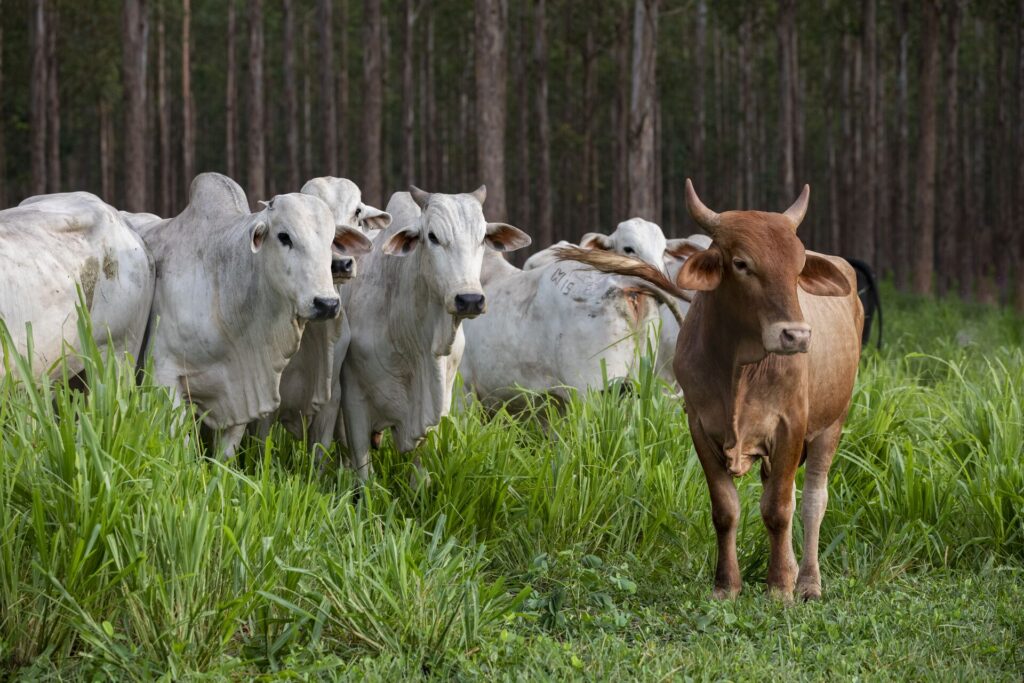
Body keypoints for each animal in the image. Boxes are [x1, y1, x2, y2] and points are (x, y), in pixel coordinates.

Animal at [333, 184, 532, 479]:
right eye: (433, 237)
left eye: (482, 238)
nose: (470, 299)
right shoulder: (353, 401)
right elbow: (362, 468)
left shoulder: (437, 405)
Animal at [561, 180, 864, 598]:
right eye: (741, 263)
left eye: (798, 266)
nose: (796, 335)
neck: (740, 368)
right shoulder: (700, 427)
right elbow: (726, 509)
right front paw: (727, 585)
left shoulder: (790, 426)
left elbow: (779, 510)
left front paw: (779, 588)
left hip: (831, 425)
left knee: (811, 501)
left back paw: (806, 582)